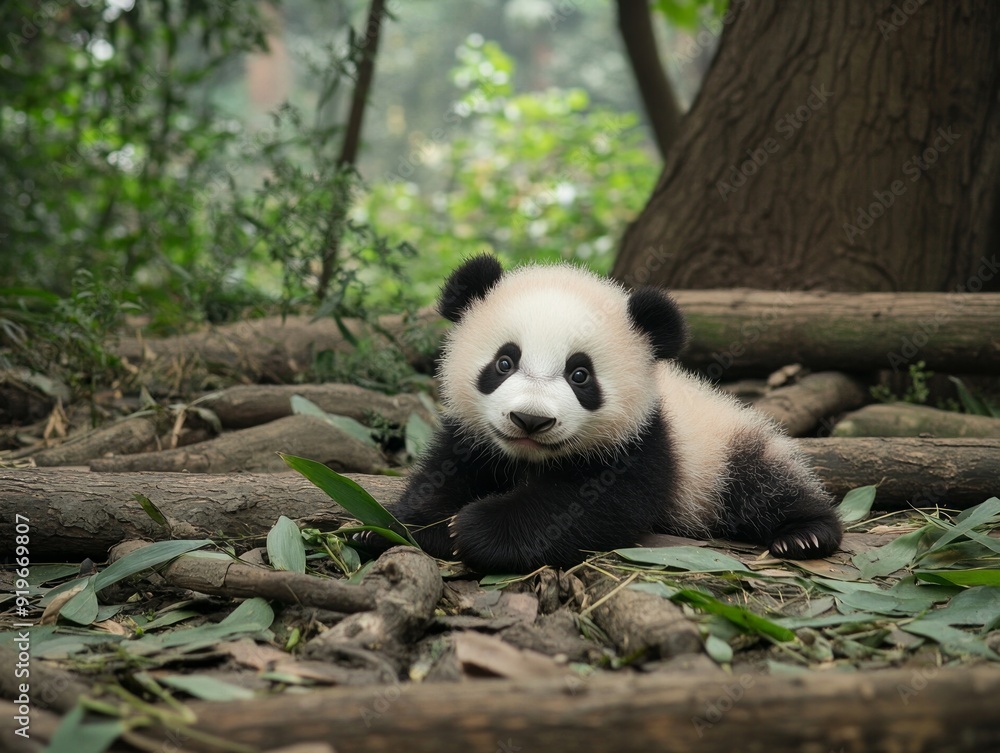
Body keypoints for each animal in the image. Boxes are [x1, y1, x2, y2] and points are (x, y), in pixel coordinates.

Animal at [386, 254, 842, 574]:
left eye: (580, 375)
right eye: (504, 363)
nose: (531, 420)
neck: (529, 458)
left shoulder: (645, 443)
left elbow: (591, 507)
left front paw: (473, 527)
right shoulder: (472, 437)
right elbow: (440, 478)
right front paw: (425, 523)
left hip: (721, 450)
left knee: (764, 483)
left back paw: (805, 535)